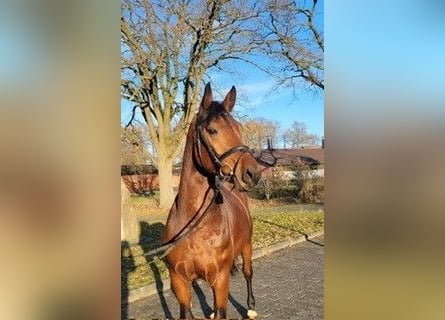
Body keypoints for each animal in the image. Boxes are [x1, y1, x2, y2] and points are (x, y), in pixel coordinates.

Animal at [162, 84, 260, 318]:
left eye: (239, 127)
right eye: (212, 130)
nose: (252, 173)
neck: (195, 225)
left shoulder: (221, 280)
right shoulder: (179, 282)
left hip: (247, 246)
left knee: (248, 272)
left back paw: (251, 308)